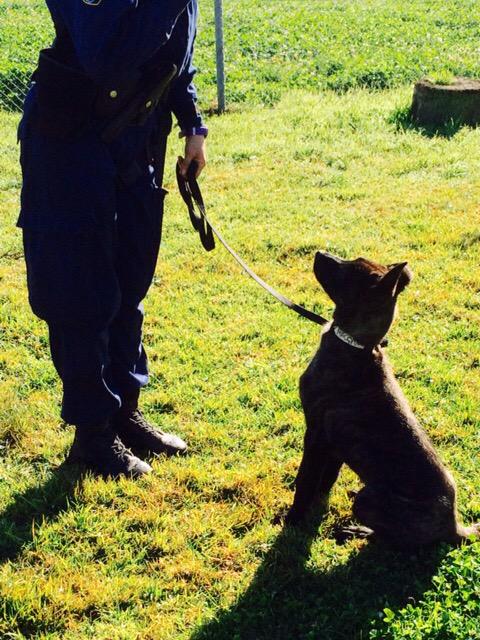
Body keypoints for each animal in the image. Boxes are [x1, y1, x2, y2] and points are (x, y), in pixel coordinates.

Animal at [286, 252, 479, 547]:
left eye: (349, 270)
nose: (320, 253)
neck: (358, 346)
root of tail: (454, 527)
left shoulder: (316, 435)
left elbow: (305, 480)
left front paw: (293, 520)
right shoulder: (334, 444)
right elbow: (326, 479)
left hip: (369, 500)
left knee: (398, 541)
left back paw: (361, 532)